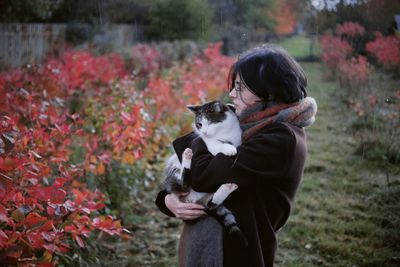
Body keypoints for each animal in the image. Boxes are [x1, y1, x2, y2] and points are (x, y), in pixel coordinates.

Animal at [163, 100, 247, 247]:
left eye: (211, 122)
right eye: (199, 124)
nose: (205, 131)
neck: (223, 133)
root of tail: (193, 199)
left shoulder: (237, 136)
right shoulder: (206, 141)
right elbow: (215, 144)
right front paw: (228, 148)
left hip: (207, 197)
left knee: (211, 204)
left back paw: (227, 188)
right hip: (175, 173)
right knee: (184, 183)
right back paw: (187, 156)